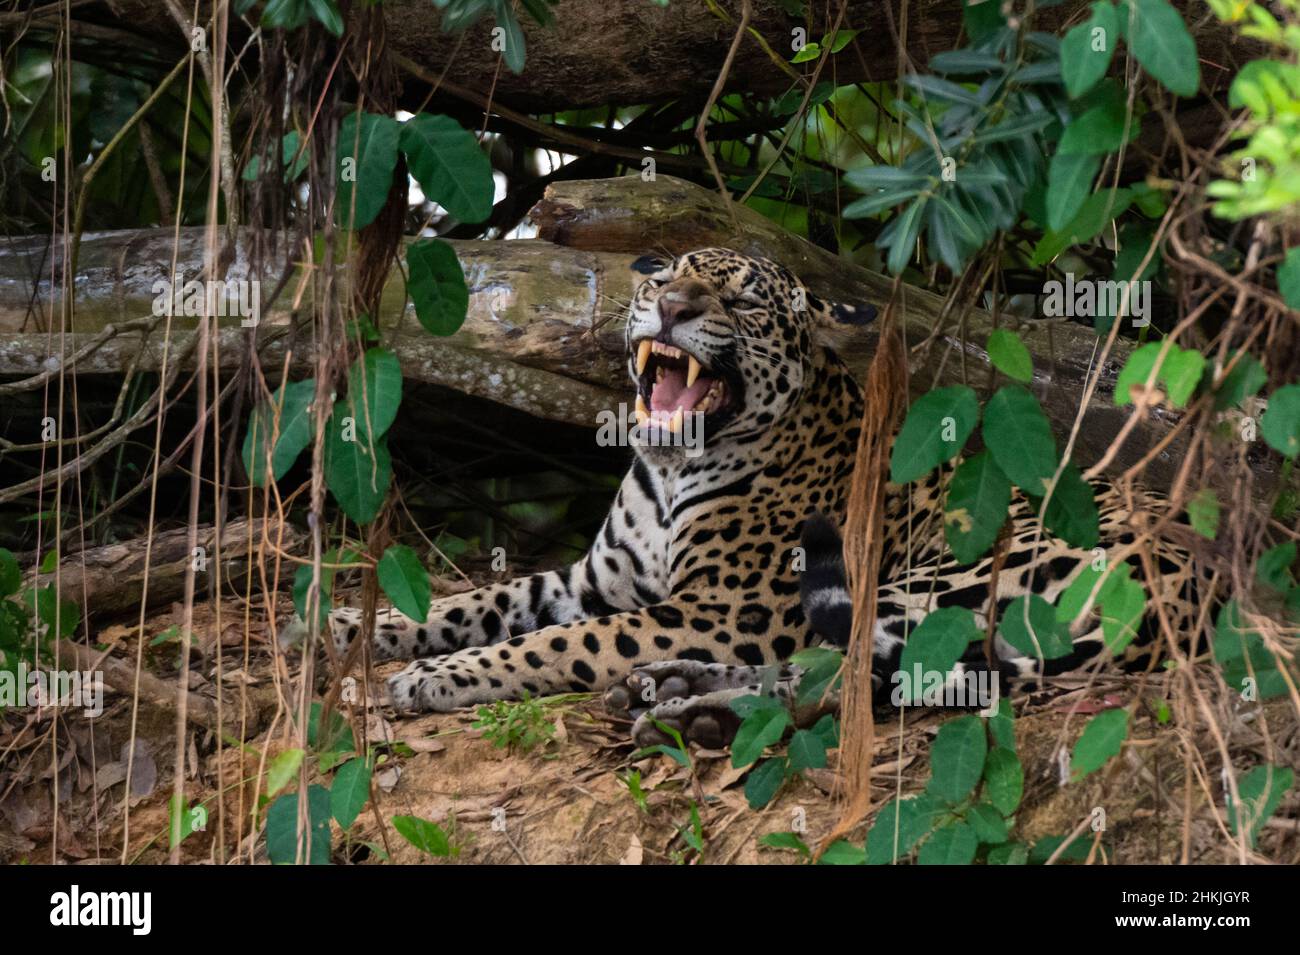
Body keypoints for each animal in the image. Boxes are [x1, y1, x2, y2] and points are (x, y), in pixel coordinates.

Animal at [327, 247, 1203, 747]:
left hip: (933, 580)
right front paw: (354, 625)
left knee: (844, 675)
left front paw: (440, 675)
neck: (672, 467)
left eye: (745, 303)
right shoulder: (595, 579)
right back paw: (676, 691)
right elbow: (483, 601)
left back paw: (691, 710)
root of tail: (1190, 587)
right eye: (663, 276)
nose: (672, 307)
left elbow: (557, 643)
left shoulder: (723, 608)